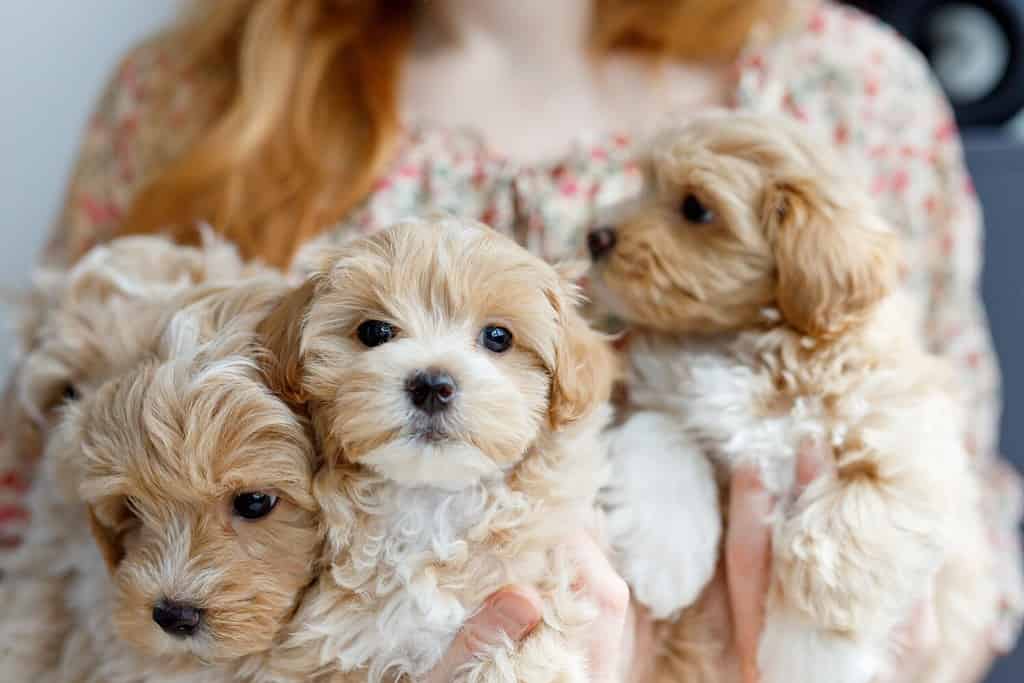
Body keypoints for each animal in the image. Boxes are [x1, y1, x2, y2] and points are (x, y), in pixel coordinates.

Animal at [589, 112, 995, 683]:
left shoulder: (909, 452)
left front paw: (812, 656)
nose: (594, 236)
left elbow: (835, 541)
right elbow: (662, 430)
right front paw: (666, 556)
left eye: (696, 208)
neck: (752, 343)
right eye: (644, 182)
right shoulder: (645, 393)